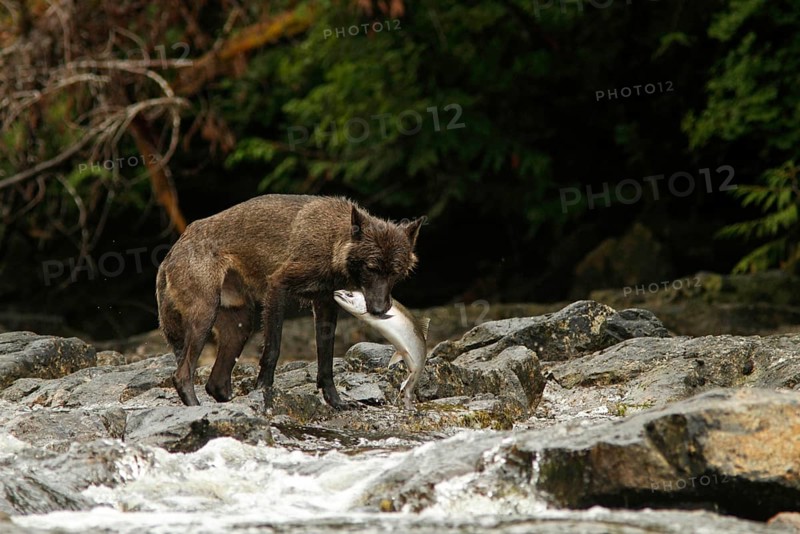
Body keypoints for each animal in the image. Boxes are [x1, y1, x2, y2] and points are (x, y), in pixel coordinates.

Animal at [156, 194, 424, 410]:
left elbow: (326, 362)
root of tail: (172, 250)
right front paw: (263, 392)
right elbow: (273, 350)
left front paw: (336, 402)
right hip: (205, 318)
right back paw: (196, 408)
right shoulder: (277, 288)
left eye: (394, 273)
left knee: (216, 383)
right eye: (371, 268)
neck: (330, 241)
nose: (378, 310)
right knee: (182, 375)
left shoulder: (325, 305)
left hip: (242, 324)